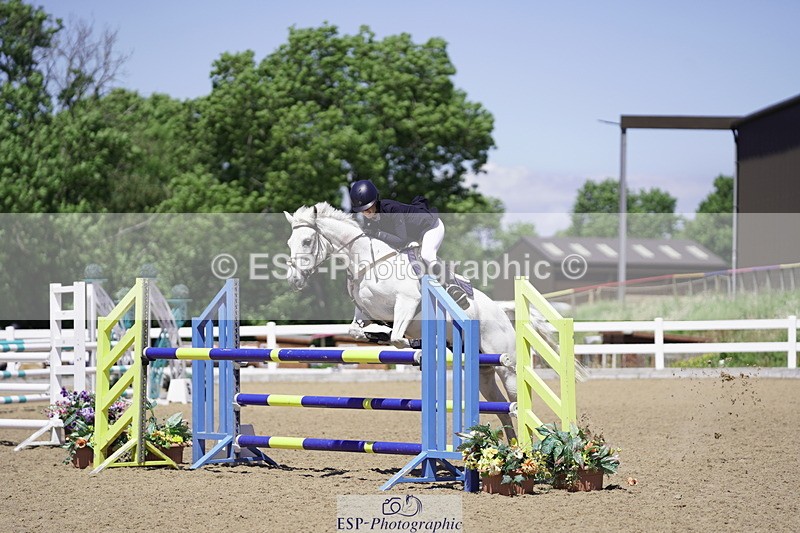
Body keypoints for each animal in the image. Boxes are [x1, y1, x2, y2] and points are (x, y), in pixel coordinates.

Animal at [283, 202, 551, 440]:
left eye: (307, 241)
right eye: (289, 243)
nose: (294, 280)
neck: (367, 262)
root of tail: (502, 310)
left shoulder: (407, 302)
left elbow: (397, 338)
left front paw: (416, 347)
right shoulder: (365, 313)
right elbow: (357, 332)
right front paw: (377, 336)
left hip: (506, 367)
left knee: (515, 405)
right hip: (481, 370)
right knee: (502, 410)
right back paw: (512, 447)